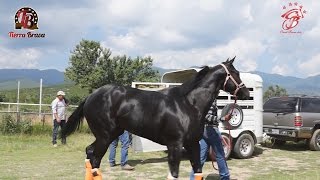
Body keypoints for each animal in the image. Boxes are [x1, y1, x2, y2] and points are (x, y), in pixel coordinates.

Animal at [61, 57, 249, 179]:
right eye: (236, 72)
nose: (246, 93)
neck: (188, 103)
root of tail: (91, 96)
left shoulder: (193, 144)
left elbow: (198, 172)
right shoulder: (175, 145)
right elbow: (174, 175)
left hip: (109, 134)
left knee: (89, 153)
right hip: (105, 137)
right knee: (94, 160)